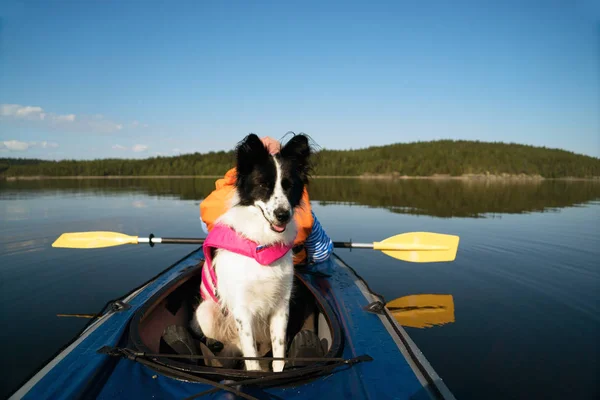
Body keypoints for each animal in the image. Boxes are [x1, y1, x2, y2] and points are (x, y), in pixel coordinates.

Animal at [192, 132, 312, 372]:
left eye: (289, 186)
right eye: (263, 185)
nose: (283, 214)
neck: (261, 245)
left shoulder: (281, 306)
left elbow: (278, 352)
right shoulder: (242, 310)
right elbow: (251, 356)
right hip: (206, 311)